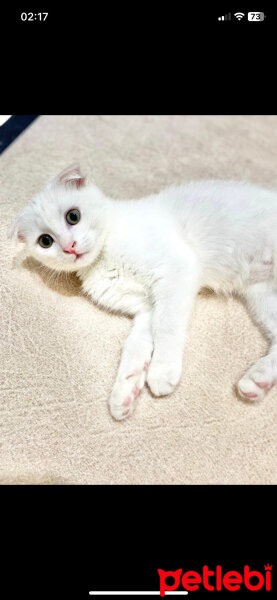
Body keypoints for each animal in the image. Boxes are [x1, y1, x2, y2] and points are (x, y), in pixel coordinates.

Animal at [7, 162, 276, 420]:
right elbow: (136, 344)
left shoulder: (176, 269)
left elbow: (165, 327)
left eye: (73, 216)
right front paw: (125, 392)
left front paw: (162, 370)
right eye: (45, 241)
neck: (104, 257)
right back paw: (257, 381)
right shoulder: (146, 308)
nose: (69, 247)